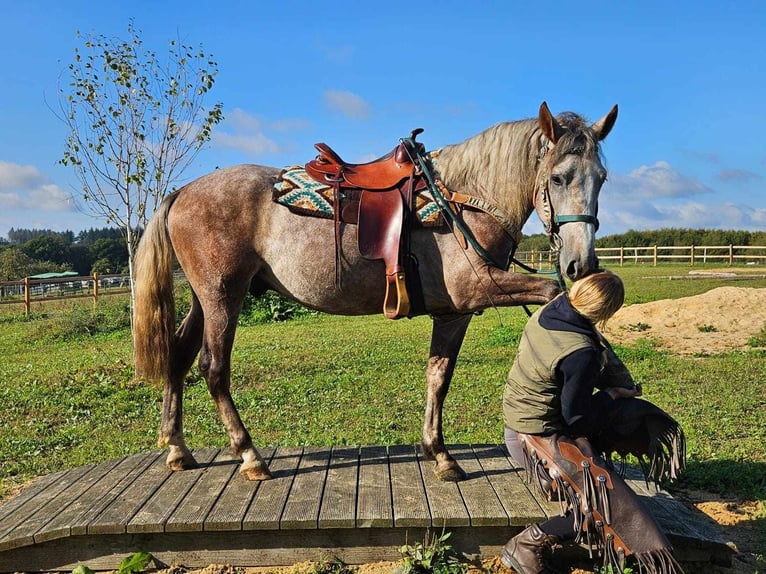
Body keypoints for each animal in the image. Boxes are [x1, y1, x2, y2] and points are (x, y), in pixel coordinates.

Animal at [134, 102, 616, 482]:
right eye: (558, 178)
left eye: (602, 178)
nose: (581, 263)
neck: (463, 201)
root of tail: (182, 192)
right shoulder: (479, 291)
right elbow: (553, 292)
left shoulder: (454, 312)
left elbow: (438, 376)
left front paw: (438, 454)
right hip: (223, 297)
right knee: (213, 368)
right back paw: (250, 456)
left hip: (205, 299)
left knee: (178, 356)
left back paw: (177, 448)